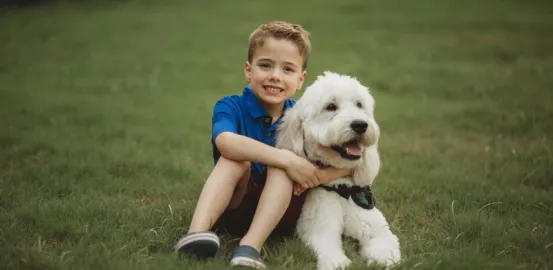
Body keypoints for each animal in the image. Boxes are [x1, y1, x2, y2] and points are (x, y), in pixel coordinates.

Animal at [276, 71, 402, 270]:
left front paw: (382, 260)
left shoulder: (377, 229)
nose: (360, 125)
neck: (342, 189)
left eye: (359, 105)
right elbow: (327, 246)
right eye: (330, 107)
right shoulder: (319, 229)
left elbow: (385, 245)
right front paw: (338, 262)